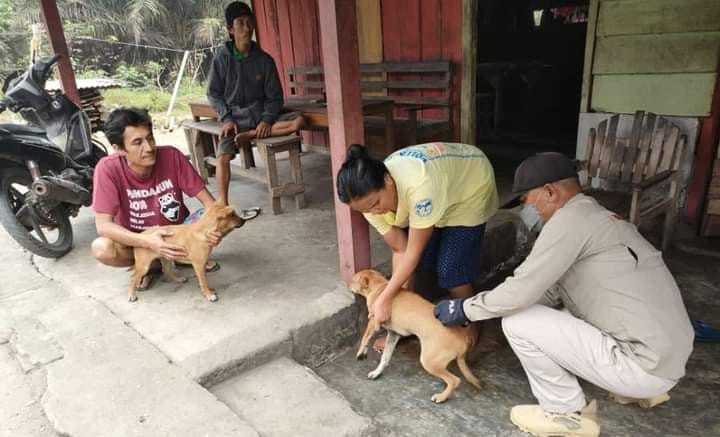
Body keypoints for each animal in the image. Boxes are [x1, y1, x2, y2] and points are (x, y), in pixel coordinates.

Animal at [350, 268, 480, 404]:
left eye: (353, 280)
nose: (348, 285)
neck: (380, 286)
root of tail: (463, 339)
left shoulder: (373, 322)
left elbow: (364, 338)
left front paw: (361, 352)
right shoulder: (393, 334)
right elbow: (385, 357)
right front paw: (377, 372)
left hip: (429, 361)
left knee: (454, 380)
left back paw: (441, 397)